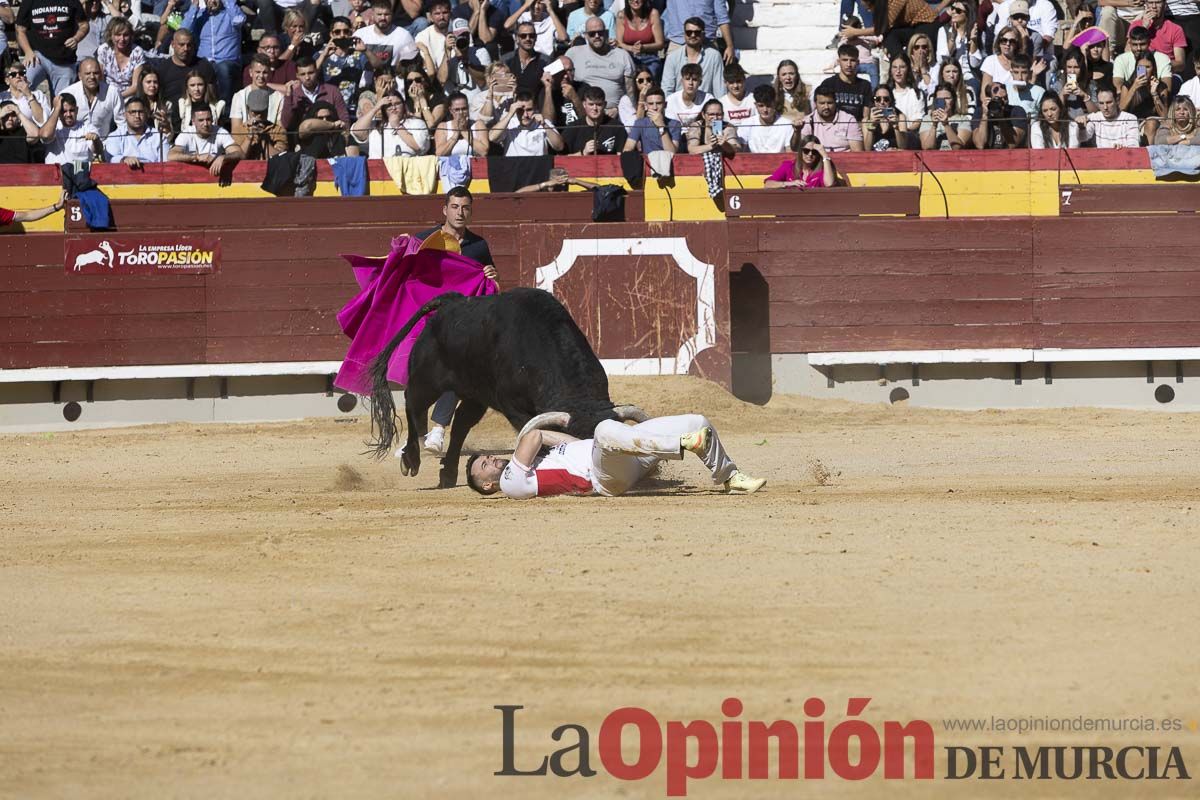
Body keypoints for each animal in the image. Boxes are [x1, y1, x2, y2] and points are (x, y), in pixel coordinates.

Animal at [364, 287, 648, 489]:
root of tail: (453, 302)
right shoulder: (513, 408)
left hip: (476, 393)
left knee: (461, 422)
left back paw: (448, 472)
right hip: (427, 379)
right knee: (414, 404)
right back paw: (411, 457)